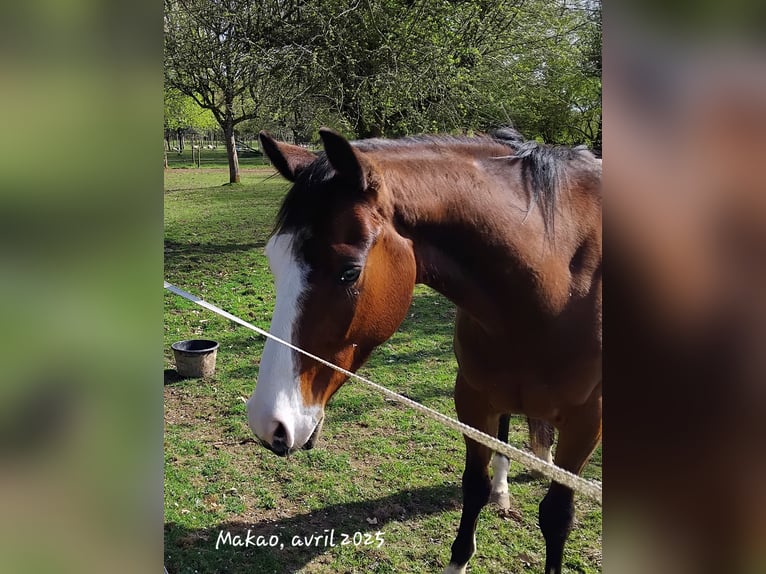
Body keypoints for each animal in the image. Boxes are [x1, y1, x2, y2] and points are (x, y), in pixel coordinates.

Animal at [247, 127, 602, 573]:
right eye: (274, 263)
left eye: (349, 272)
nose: (268, 422)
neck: (558, 285)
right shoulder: (472, 399)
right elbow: (474, 486)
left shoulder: (587, 424)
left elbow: (556, 516)